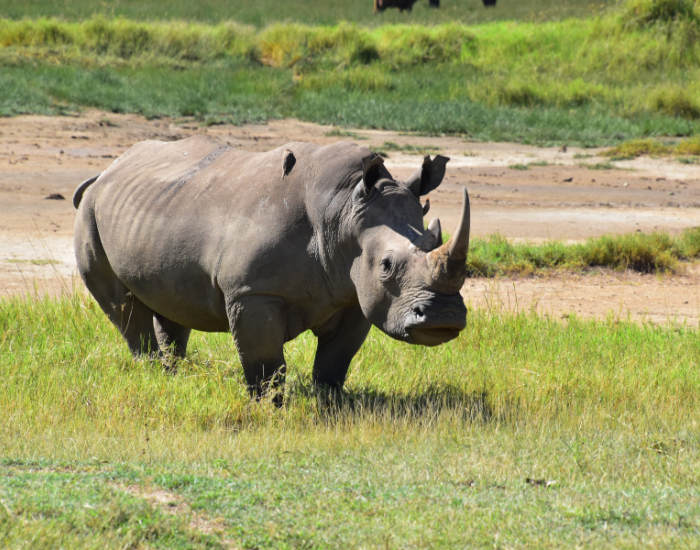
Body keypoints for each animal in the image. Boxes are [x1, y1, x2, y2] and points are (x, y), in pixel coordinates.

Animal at [73, 137, 470, 397]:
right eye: (386, 265)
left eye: (436, 240)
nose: (443, 317)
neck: (343, 212)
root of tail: (107, 171)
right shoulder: (251, 292)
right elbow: (264, 362)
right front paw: (269, 407)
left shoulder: (356, 295)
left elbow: (335, 360)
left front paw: (330, 404)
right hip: (90, 211)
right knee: (122, 307)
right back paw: (154, 374)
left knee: (171, 303)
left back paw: (177, 374)